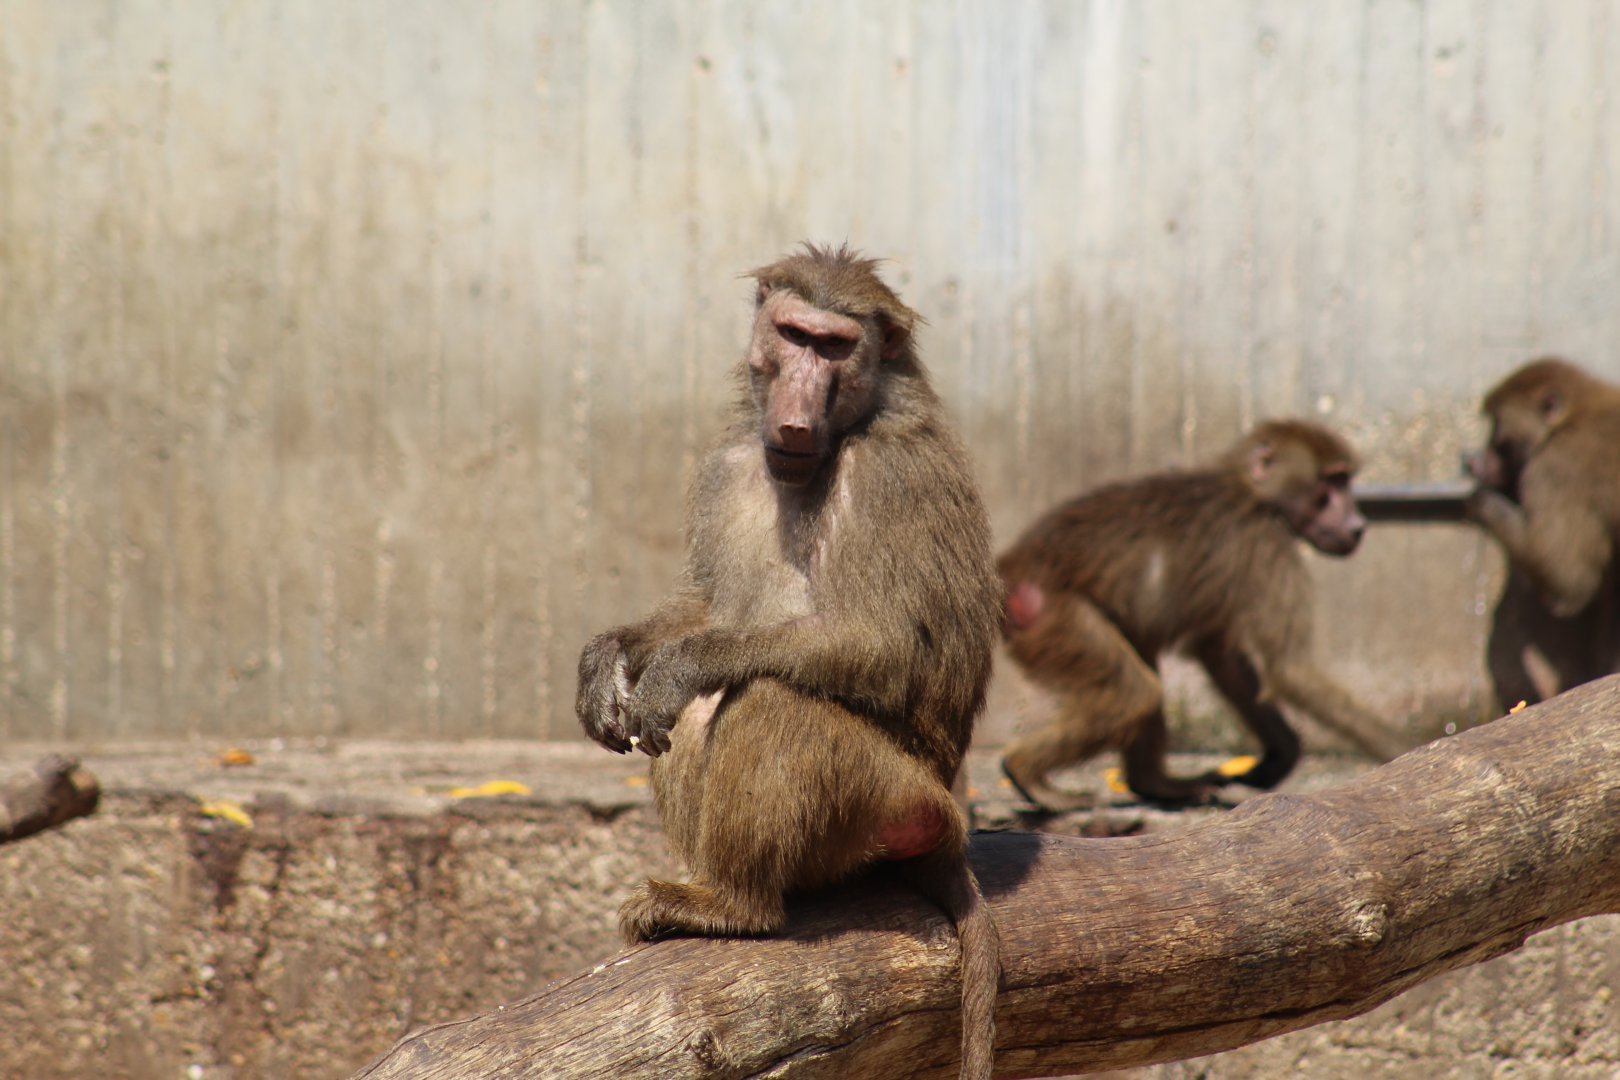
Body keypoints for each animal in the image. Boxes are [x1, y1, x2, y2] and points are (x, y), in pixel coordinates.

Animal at [575, 244, 1002, 1079]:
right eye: (794, 335)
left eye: (835, 348)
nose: (797, 411)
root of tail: (950, 824)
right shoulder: (727, 462)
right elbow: (708, 606)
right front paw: (609, 657)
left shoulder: (887, 473)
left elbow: (885, 644)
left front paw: (679, 666)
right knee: (701, 722)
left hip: (898, 803)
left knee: (770, 699)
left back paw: (732, 906)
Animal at [998, 419, 1404, 811]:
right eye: (1332, 482)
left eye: (1344, 480)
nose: (1358, 526)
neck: (1250, 490)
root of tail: (1010, 568)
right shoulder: (1266, 543)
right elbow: (1291, 670)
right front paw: (1403, 751)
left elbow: (1222, 656)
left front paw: (1279, 759)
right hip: (1053, 615)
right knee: (1134, 692)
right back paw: (1026, 773)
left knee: (1142, 669)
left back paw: (1154, 785)